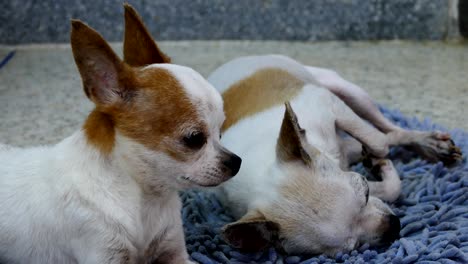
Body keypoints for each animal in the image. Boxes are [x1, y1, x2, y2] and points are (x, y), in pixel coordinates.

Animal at [0, 4, 241, 264]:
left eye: (221, 132)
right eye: (194, 139)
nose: (236, 161)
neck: (145, 199)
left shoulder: (174, 252)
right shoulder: (105, 252)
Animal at [208, 54, 460, 255]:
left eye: (365, 193)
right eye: (350, 247)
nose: (394, 226)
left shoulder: (328, 104)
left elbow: (380, 142)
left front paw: (377, 156)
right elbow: (389, 185)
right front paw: (378, 166)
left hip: (347, 91)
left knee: (388, 128)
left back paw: (428, 143)